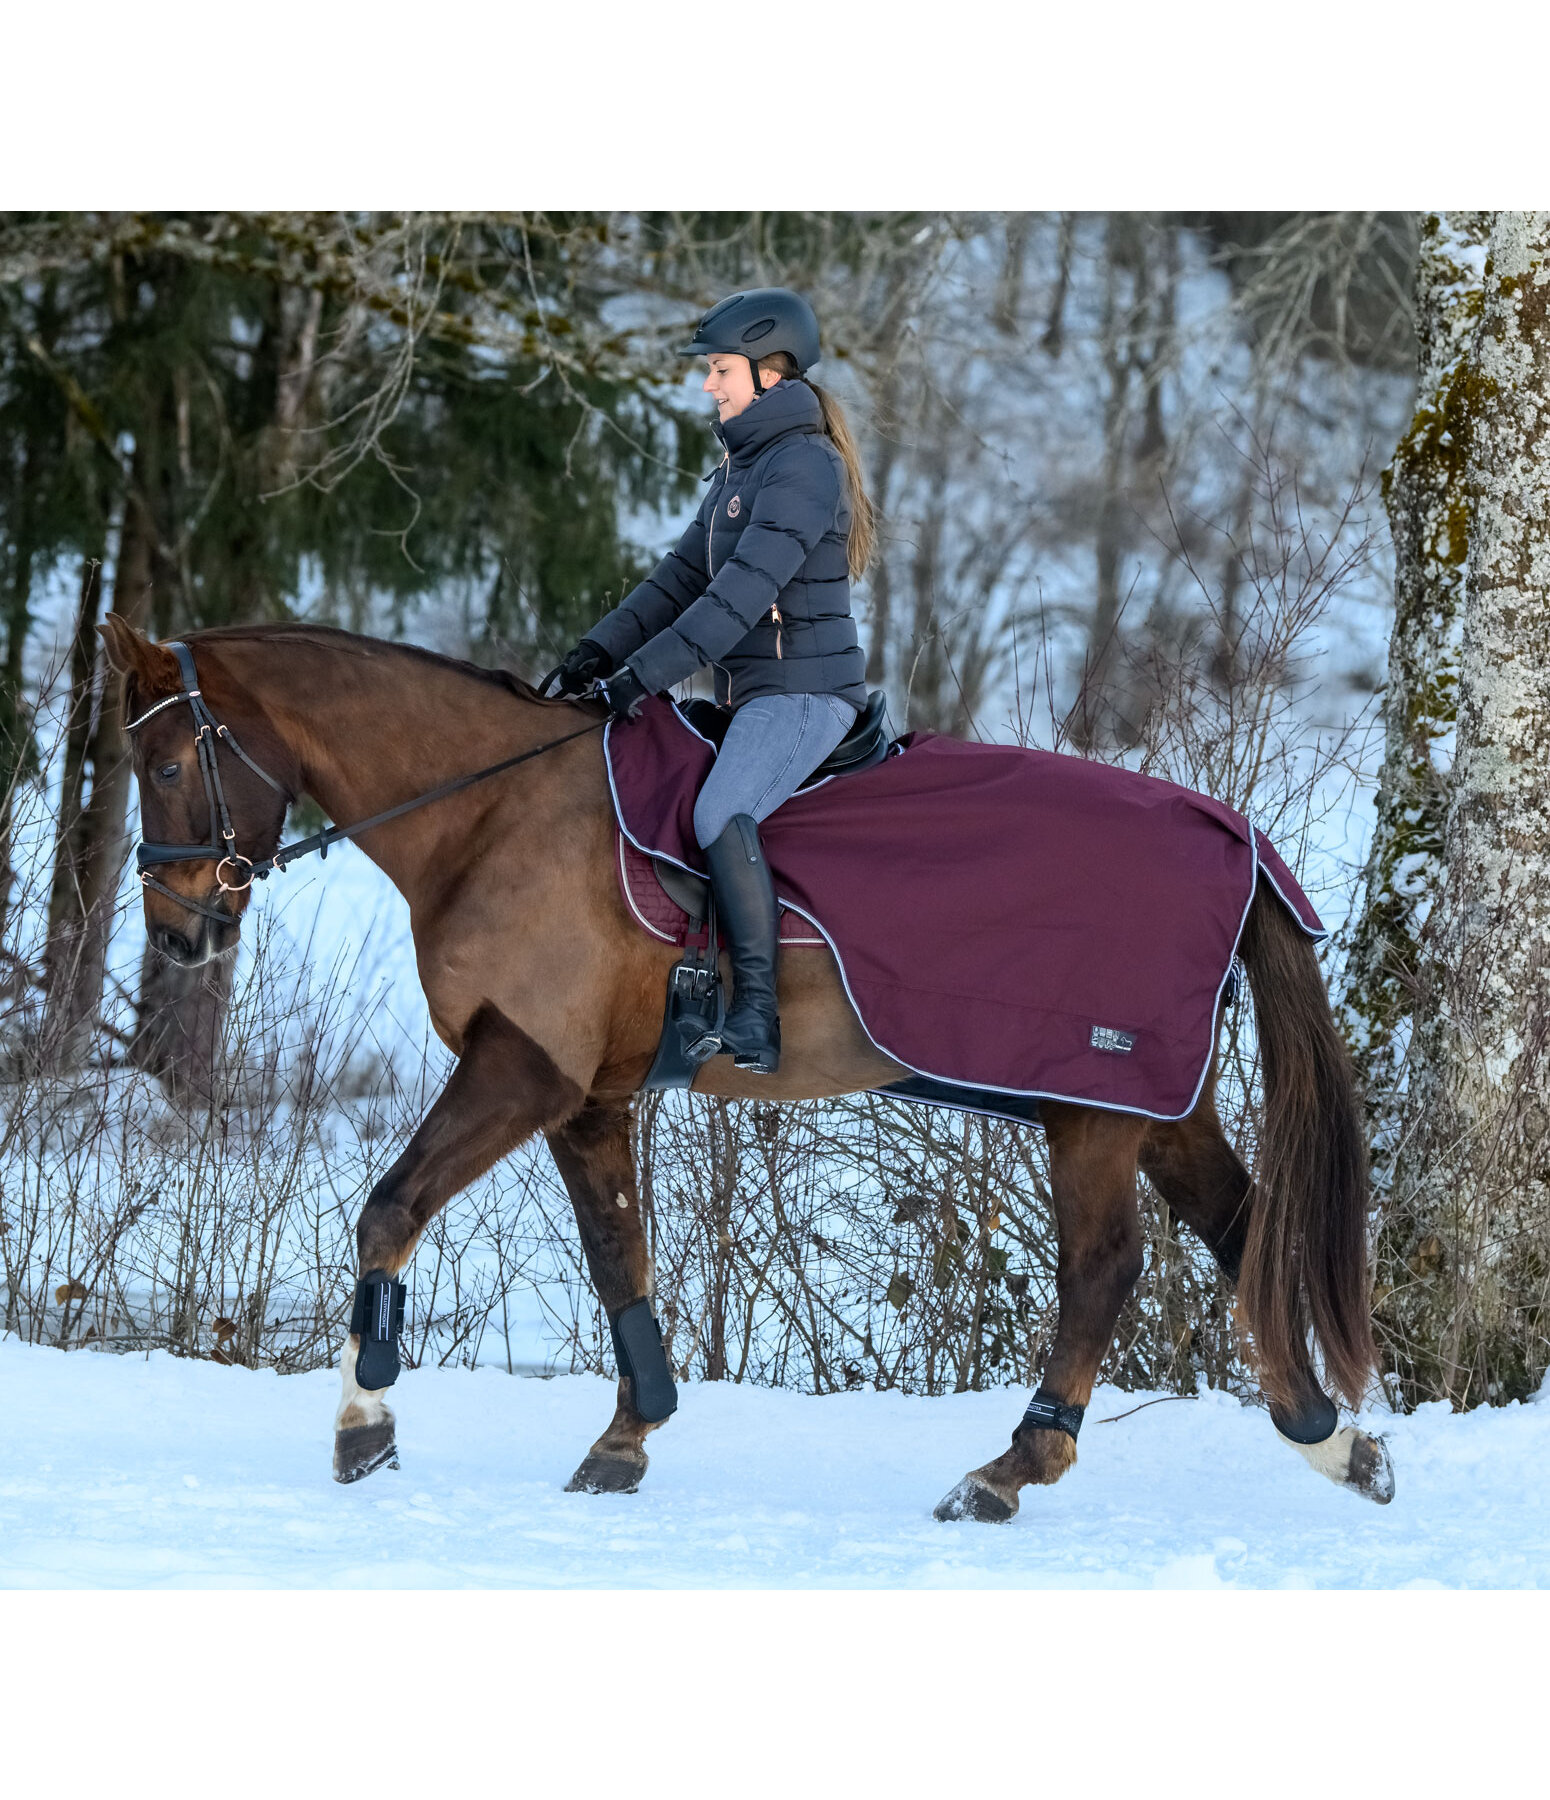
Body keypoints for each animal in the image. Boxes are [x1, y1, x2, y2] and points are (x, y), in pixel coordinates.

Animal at [102, 619, 1396, 1519]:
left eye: (164, 765)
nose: (176, 936)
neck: (495, 815)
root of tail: (1230, 839)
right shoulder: (587, 1094)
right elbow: (616, 1256)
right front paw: (624, 1440)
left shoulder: (520, 1068)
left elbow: (388, 1210)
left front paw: (363, 1424)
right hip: (1151, 1104)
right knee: (1240, 1227)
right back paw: (1331, 1439)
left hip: (1091, 1106)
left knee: (1103, 1269)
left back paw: (1008, 1470)